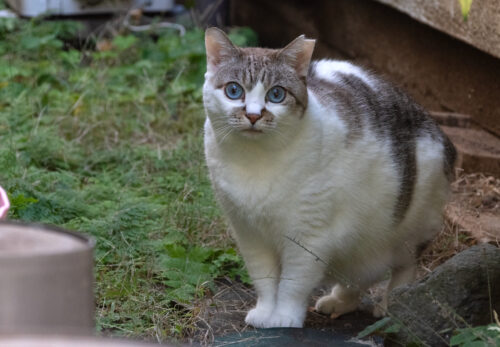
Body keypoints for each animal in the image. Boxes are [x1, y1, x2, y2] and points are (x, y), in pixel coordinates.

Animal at [201, 27, 456, 328]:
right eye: (234, 90)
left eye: (276, 95)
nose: (253, 115)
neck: (254, 161)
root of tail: (438, 131)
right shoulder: (249, 233)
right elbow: (265, 279)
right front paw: (265, 313)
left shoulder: (308, 235)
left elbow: (292, 283)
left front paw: (284, 317)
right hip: (362, 243)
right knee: (360, 275)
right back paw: (339, 301)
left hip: (410, 229)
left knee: (403, 269)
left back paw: (391, 305)